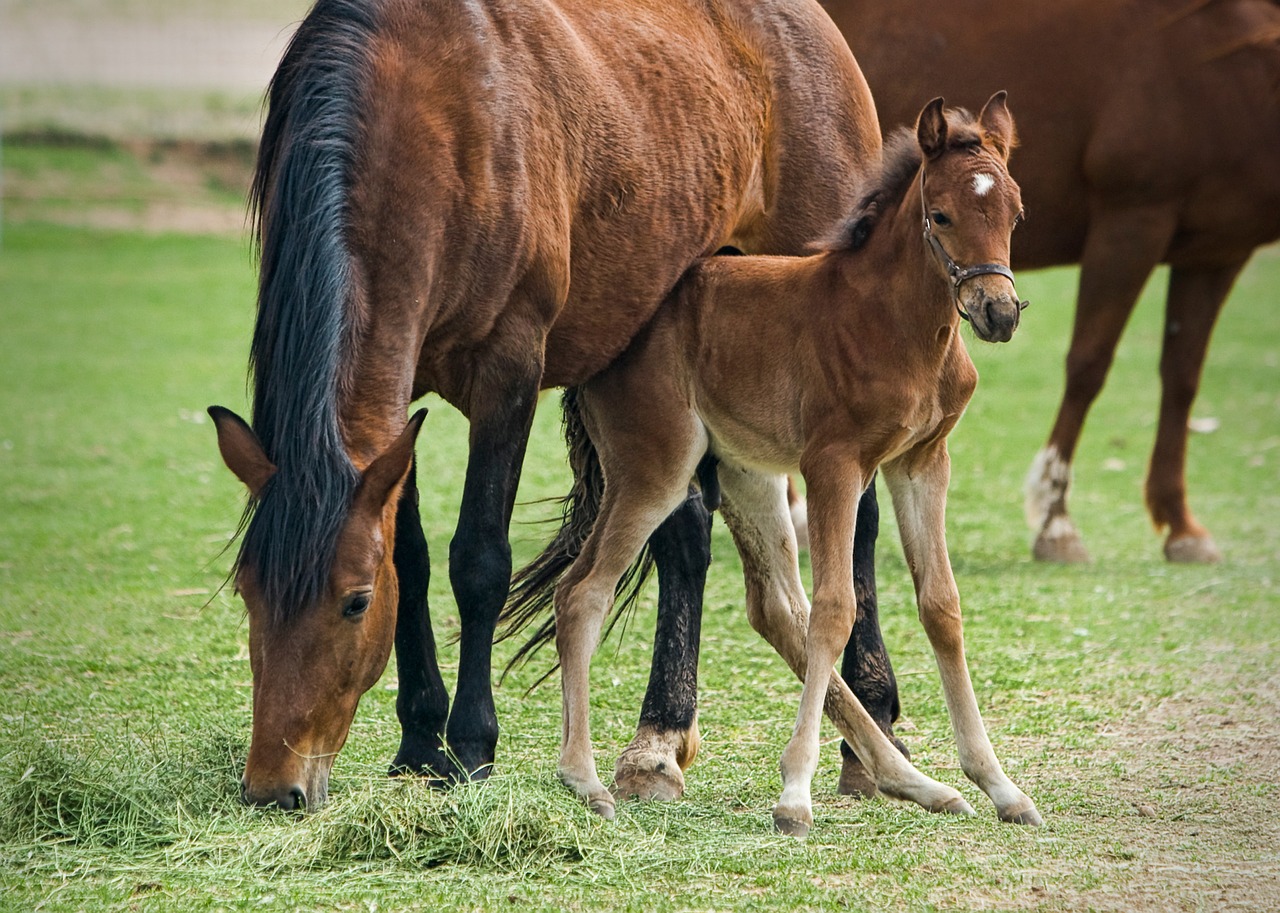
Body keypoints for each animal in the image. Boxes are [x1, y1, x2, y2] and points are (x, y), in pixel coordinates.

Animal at [204, 0, 885, 809]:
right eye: (248, 592)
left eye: (355, 602)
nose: (273, 787)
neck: (431, 116)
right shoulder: (400, 398)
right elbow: (414, 556)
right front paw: (418, 741)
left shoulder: (509, 370)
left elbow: (478, 560)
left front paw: (469, 747)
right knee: (685, 531)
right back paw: (658, 742)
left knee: (860, 522)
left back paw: (871, 725)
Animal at [529, 94, 1039, 834]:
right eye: (941, 215)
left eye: (1015, 213)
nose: (997, 312)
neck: (897, 324)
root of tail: (609, 343)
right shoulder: (836, 464)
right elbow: (835, 609)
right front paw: (794, 795)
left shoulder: (922, 461)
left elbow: (941, 607)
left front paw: (1000, 785)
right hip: (655, 467)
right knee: (583, 591)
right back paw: (586, 778)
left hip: (746, 471)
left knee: (775, 607)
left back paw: (917, 782)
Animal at [824, 0, 1280, 563]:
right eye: (942, 216)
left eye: (1018, 216)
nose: (999, 313)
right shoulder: (1132, 219)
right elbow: (1088, 365)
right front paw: (1056, 522)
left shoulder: (1217, 251)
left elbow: (1182, 379)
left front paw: (1183, 528)